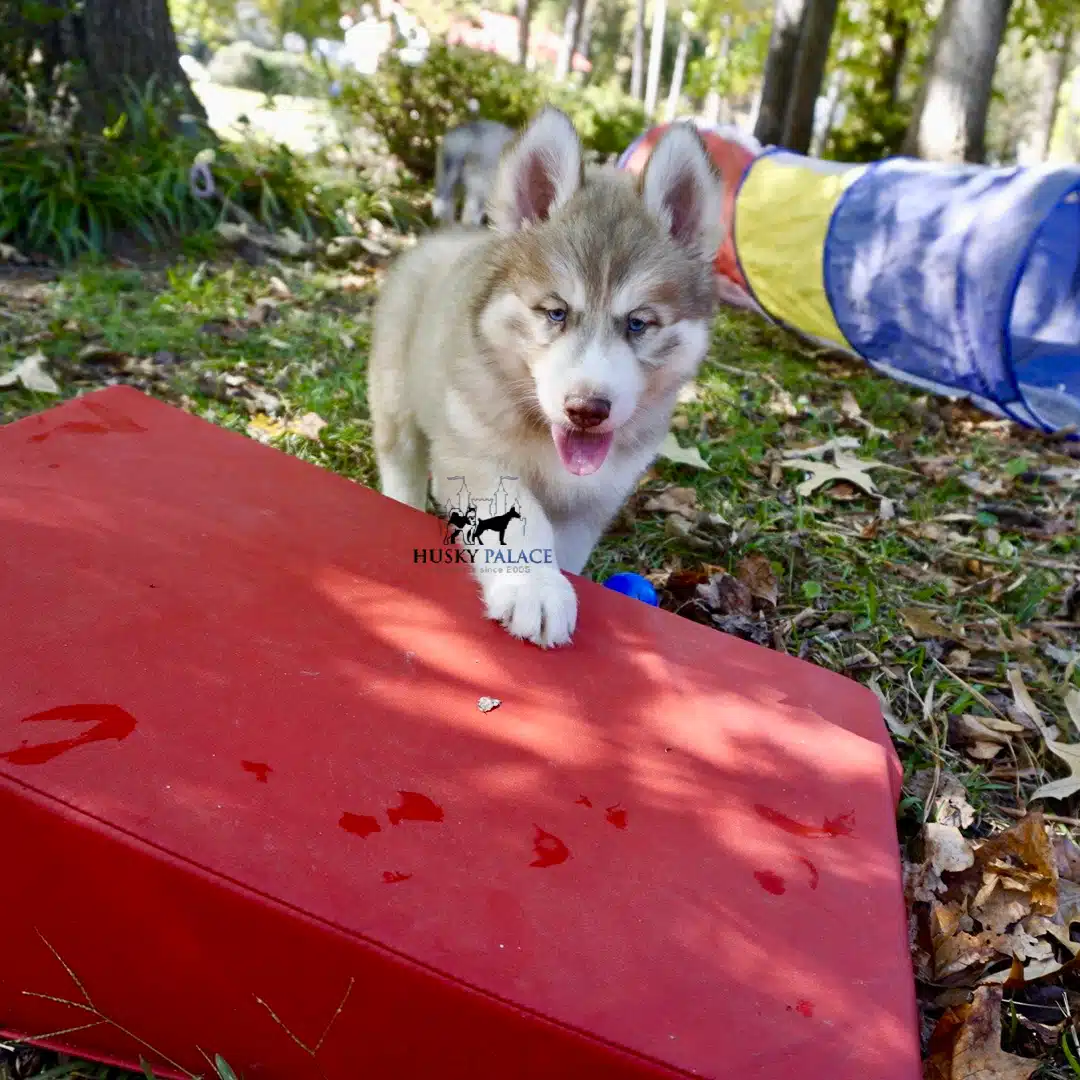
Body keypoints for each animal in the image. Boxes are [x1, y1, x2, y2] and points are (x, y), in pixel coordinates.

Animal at [371, 107, 725, 648]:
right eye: (556, 313)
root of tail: (451, 236)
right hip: (396, 399)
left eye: (638, 323)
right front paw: (533, 587)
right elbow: (523, 519)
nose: (587, 409)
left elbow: (567, 546)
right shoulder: (476, 451)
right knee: (400, 462)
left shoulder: (595, 498)